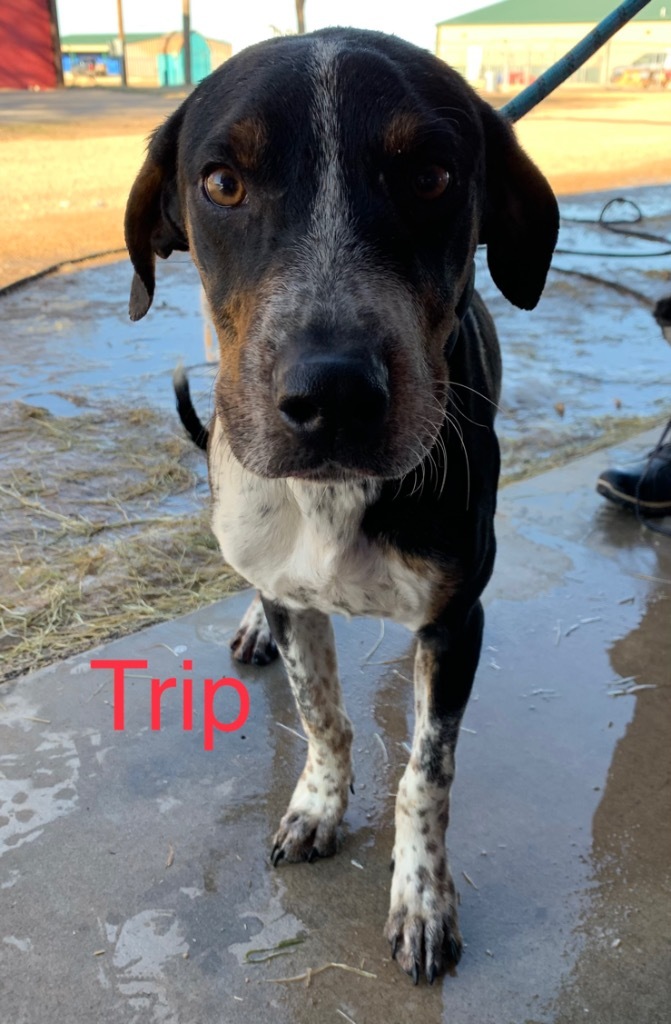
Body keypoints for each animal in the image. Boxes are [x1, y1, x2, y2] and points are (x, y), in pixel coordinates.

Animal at [124, 29, 557, 983]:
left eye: (430, 175)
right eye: (221, 183)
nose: (331, 396)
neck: (330, 498)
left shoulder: (454, 619)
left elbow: (426, 773)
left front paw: (421, 898)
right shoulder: (295, 596)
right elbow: (321, 715)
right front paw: (320, 804)